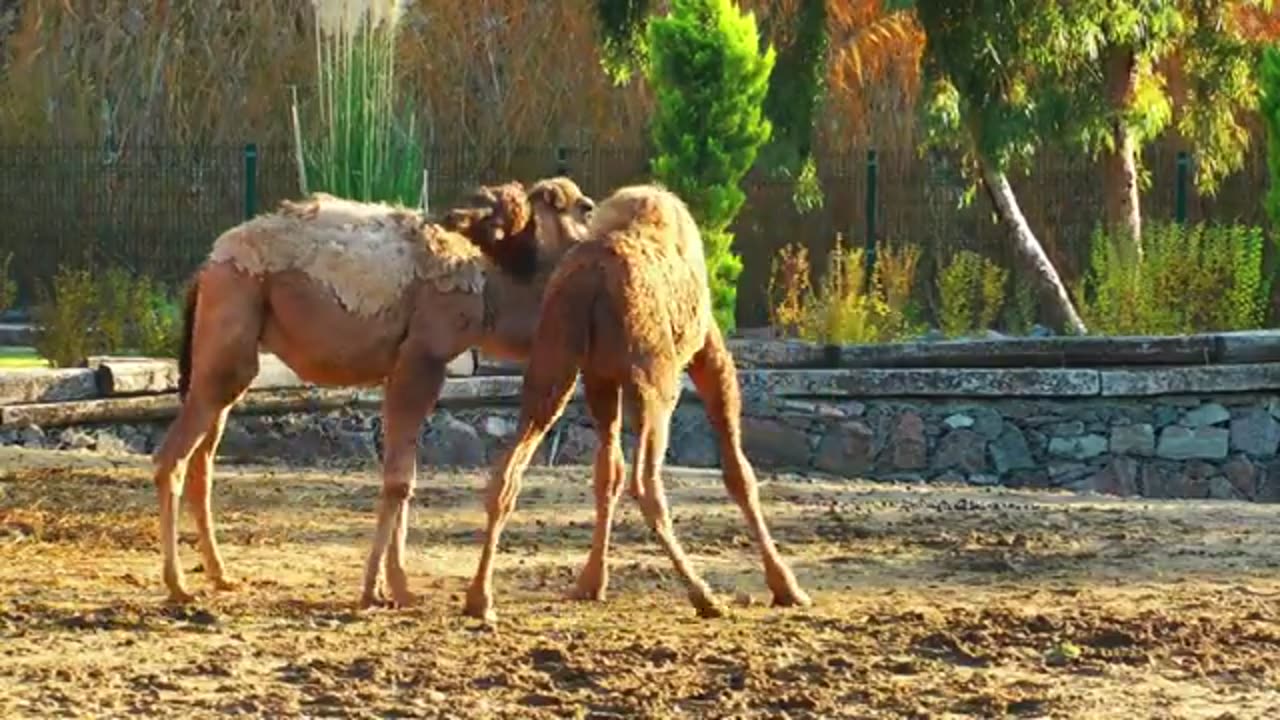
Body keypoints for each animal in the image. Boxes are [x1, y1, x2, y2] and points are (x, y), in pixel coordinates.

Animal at [151, 174, 593, 604]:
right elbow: (400, 480)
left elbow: (402, 474)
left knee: (203, 460)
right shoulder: (422, 358)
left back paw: (220, 575)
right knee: (171, 458)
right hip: (232, 326)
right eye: (584, 208)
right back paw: (178, 585)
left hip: (227, 359)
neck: (490, 287)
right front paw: (383, 588)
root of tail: (208, 266)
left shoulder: (401, 368)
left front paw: (388, 586)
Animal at [465, 181, 814, 620]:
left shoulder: (599, 378)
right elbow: (739, 472)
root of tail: (590, 281)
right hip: (656, 382)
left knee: (507, 474)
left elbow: (606, 474)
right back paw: (705, 596)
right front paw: (787, 586)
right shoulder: (707, 343)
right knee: (646, 482)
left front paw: (591, 583)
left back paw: (479, 599)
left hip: (553, 368)